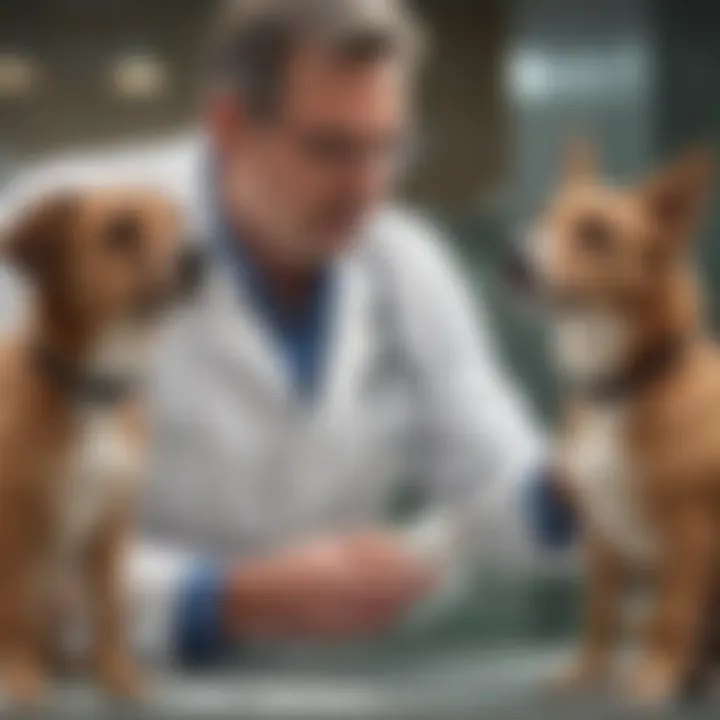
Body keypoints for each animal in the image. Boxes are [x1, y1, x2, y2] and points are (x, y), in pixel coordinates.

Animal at [0, 184, 200, 704]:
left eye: (178, 221)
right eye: (120, 231)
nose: (198, 257)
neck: (92, 390)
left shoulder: (112, 525)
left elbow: (110, 610)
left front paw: (116, 673)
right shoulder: (16, 525)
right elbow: (15, 609)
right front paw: (19, 673)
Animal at [512, 141, 720, 704]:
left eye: (596, 232)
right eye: (541, 216)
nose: (515, 260)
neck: (620, 388)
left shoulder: (692, 533)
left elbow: (669, 616)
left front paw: (654, 678)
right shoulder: (600, 537)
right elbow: (600, 615)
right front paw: (585, 674)